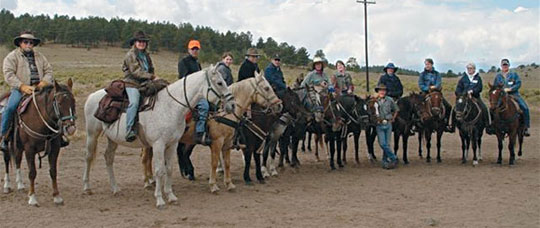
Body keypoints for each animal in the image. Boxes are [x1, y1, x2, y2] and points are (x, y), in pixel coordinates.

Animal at [81, 65, 232, 209]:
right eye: (219, 83)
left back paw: (115, 188)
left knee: (108, 158)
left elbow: (169, 168)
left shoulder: (172, 144)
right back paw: (87, 187)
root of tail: (92, 96)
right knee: (88, 157)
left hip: (112, 139)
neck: (170, 107)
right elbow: (159, 170)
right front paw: (159, 199)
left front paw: (171, 196)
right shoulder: (158, 144)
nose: (231, 105)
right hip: (92, 134)